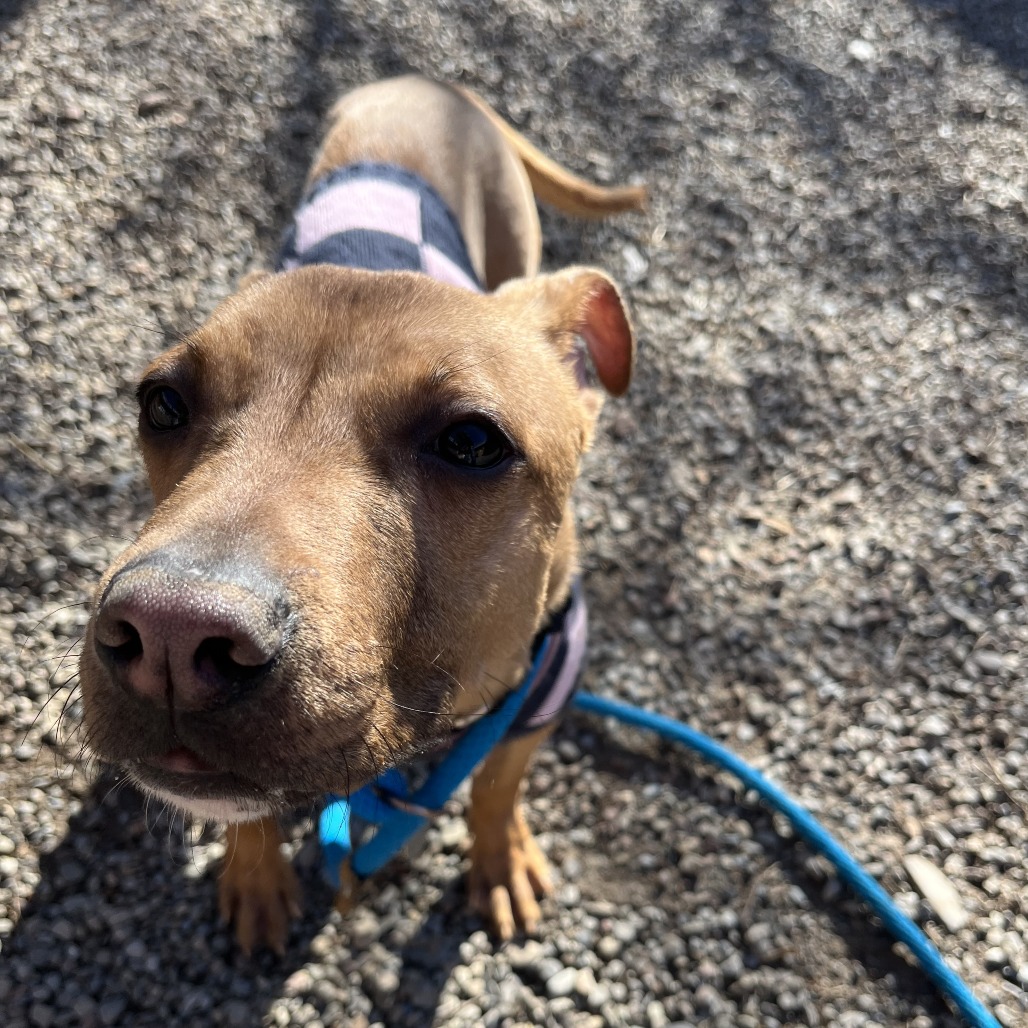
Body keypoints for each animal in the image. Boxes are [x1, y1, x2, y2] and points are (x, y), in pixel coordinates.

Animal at [79, 76, 643, 954]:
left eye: (472, 441)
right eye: (161, 402)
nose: (171, 632)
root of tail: (428, 82)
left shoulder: (543, 690)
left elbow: (496, 786)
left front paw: (500, 858)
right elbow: (249, 815)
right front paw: (255, 877)